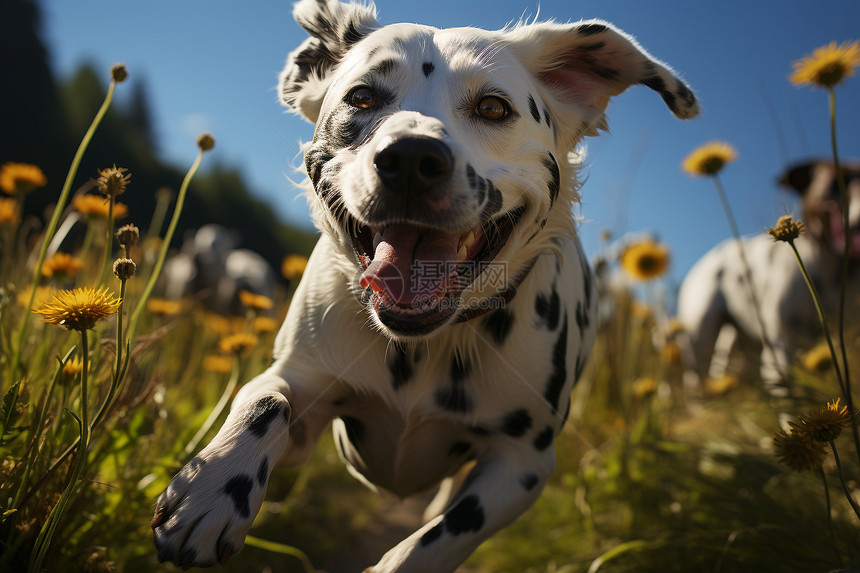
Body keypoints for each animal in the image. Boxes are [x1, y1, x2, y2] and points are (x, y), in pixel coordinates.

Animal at [151, 2, 696, 568]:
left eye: (493, 108)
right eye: (362, 97)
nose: (411, 159)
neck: (425, 344)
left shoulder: (523, 464)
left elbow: (437, 539)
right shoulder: (303, 385)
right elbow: (264, 398)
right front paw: (213, 488)